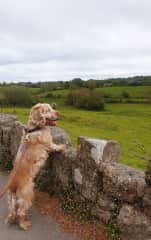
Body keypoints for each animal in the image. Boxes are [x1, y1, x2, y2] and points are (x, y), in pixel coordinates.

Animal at [0, 103, 65, 231]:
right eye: (47, 110)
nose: (59, 113)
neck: (35, 128)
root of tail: (12, 187)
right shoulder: (49, 142)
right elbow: (54, 146)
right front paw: (62, 147)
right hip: (27, 195)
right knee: (20, 213)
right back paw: (25, 225)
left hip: (11, 200)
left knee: (13, 212)